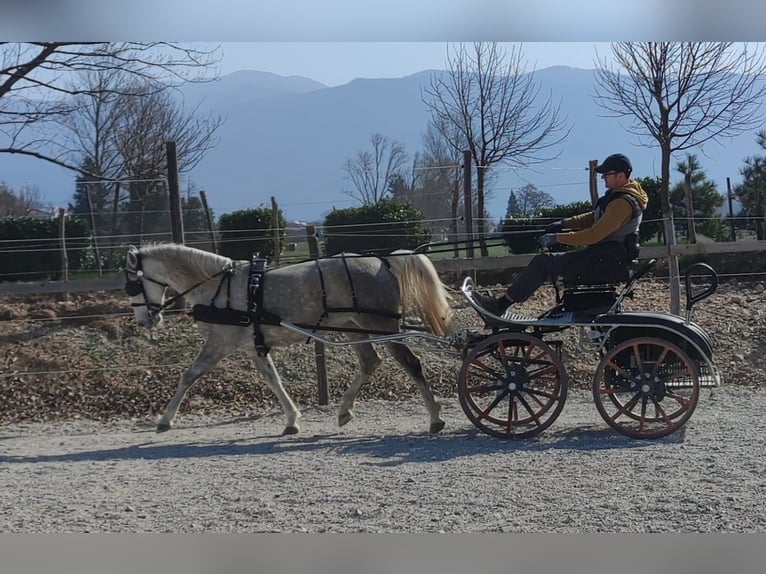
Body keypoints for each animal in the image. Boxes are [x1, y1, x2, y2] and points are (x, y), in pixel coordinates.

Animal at [123, 243, 452, 436]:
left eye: (132, 284)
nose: (144, 321)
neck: (219, 287)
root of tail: (382, 260)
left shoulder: (218, 344)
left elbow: (189, 376)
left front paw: (165, 419)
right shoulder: (252, 347)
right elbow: (273, 379)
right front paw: (292, 419)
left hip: (382, 326)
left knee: (411, 363)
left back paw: (435, 417)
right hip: (353, 326)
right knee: (371, 362)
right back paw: (344, 411)